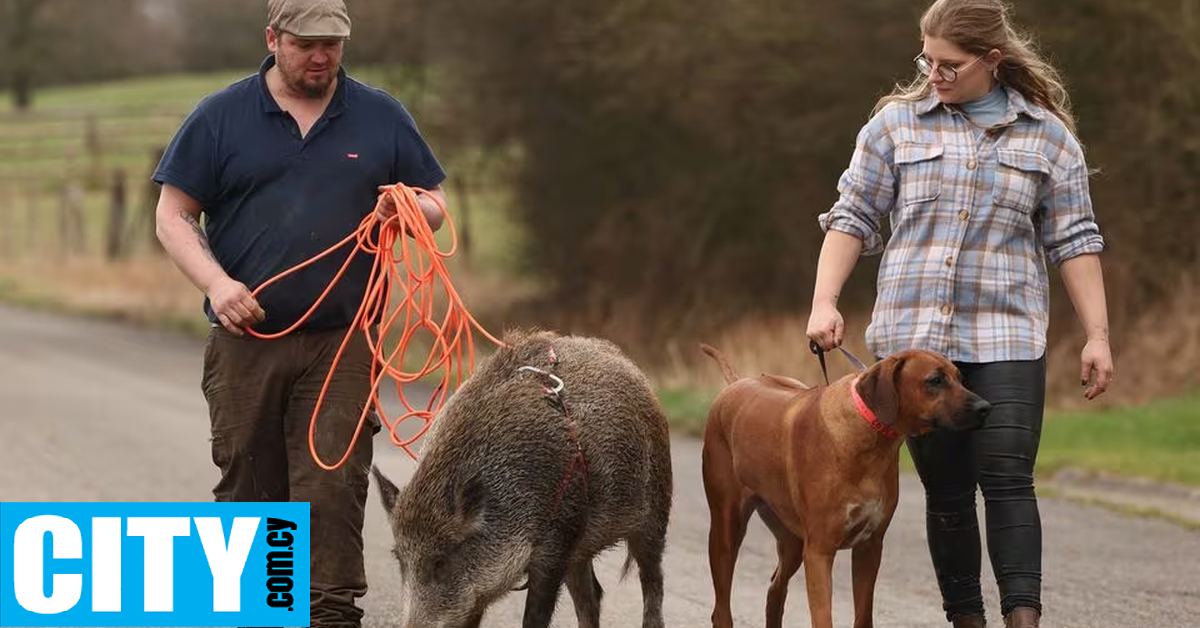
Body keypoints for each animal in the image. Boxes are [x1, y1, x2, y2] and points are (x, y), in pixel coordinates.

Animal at [700, 343, 988, 628]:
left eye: (960, 378)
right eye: (935, 380)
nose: (985, 407)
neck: (871, 436)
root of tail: (735, 384)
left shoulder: (869, 546)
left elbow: (863, 614)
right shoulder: (819, 551)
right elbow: (823, 616)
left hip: (791, 538)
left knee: (775, 588)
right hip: (726, 527)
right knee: (722, 606)